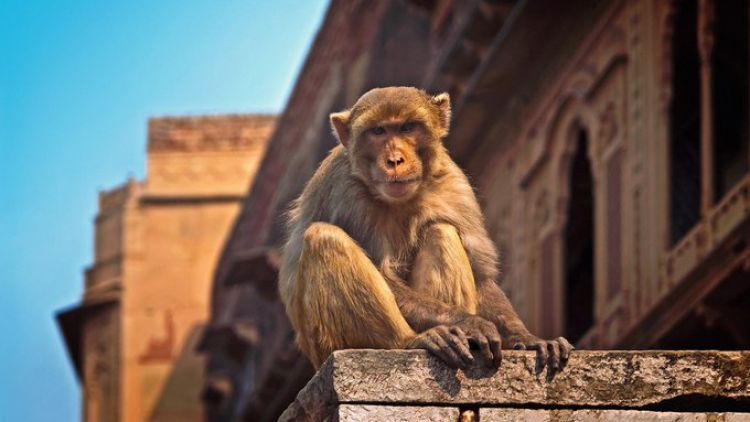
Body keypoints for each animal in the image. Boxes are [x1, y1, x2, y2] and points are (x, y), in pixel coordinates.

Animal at [279, 86, 573, 371]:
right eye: (378, 131)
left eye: (407, 128)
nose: (394, 160)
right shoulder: (343, 190)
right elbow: (383, 272)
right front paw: (468, 322)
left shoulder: (455, 183)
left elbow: (481, 275)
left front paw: (526, 338)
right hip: (324, 345)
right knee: (324, 237)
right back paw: (413, 341)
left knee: (441, 230)